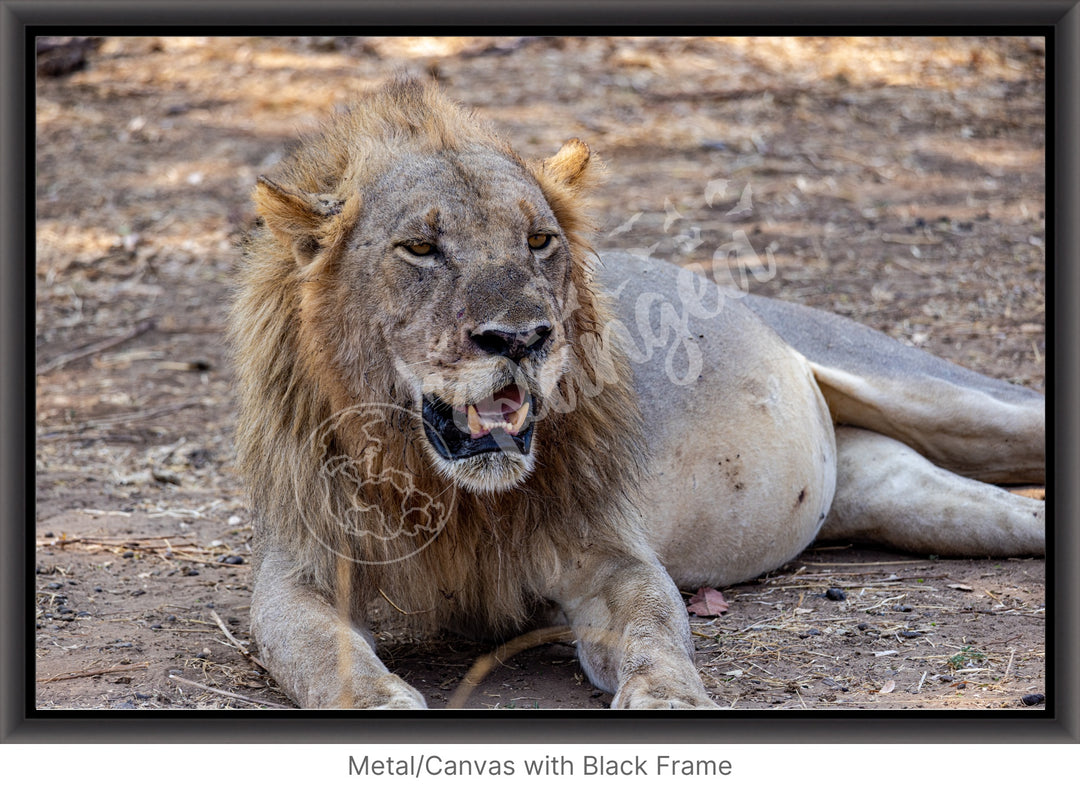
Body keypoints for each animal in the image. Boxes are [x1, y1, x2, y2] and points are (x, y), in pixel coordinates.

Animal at [230, 78, 1045, 708]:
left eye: (538, 241)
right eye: (421, 249)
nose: (521, 338)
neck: (454, 497)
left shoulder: (609, 555)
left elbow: (655, 628)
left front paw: (669, 696)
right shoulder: (300, 569)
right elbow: (322, 653)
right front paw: (380, 698)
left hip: (943, 397)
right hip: (909, 499)